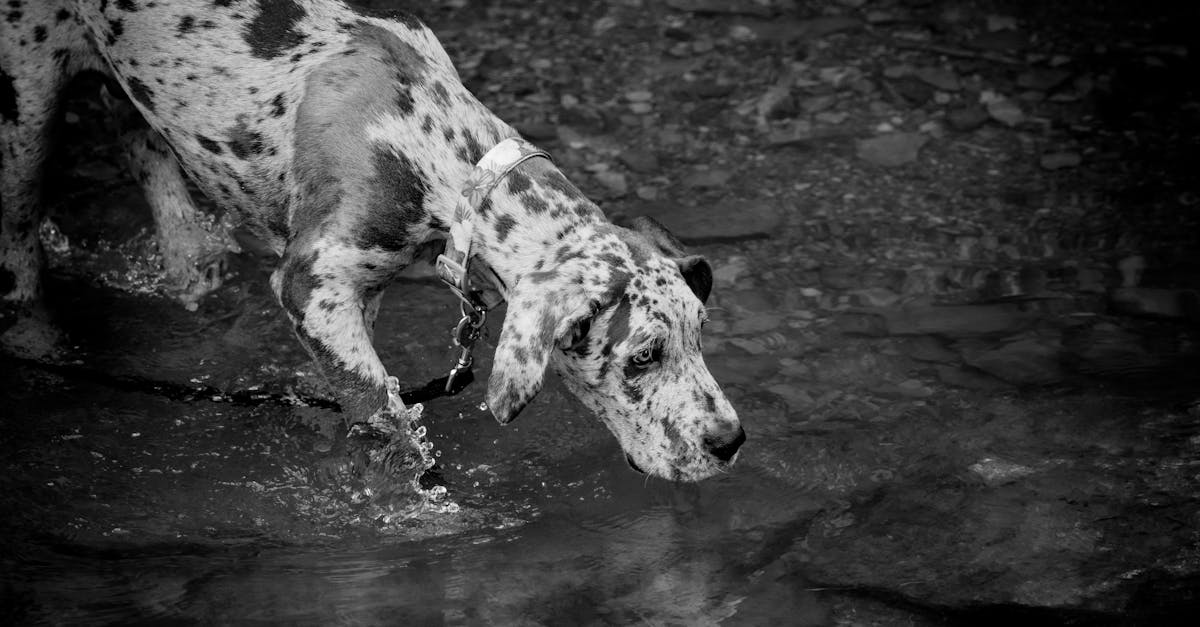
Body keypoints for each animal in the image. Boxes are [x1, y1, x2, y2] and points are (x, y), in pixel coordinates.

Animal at [0, 0, 744, 480]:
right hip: (22, 124)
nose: (732, 440)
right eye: (643, 356)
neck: (432, 140)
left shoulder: (357, 296)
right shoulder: (311, 284)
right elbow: (388, 414)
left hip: (137, 115)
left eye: (701, 332)